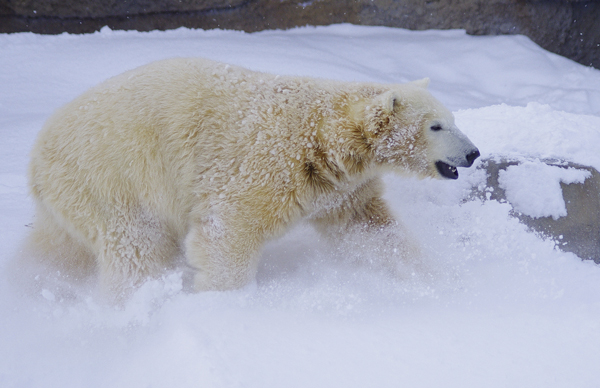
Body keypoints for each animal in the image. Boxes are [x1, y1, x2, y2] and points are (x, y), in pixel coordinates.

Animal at [27, 57, 478, 296]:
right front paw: (228, 301)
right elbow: (230, 227)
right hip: (114, 177)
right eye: (436, 126)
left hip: (75, 197)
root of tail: (37, 157)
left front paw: (434, 277)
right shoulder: (269, 163)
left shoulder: (341, 187)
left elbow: (371, 228)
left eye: (453, 119)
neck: (323, 136)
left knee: (55, 249)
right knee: (138, 249)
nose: (473, 153)